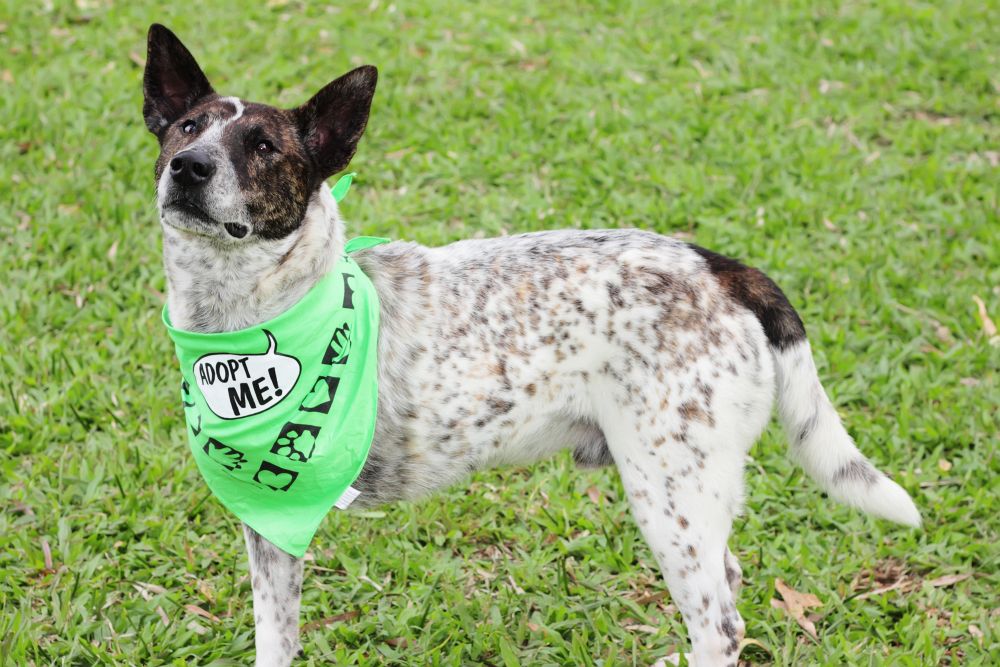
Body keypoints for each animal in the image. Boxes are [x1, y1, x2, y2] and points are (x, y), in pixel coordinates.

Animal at [143, 24, 920, 667]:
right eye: (186, 127)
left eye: (263, 147)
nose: (189, 167)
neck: (260, 302)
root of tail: (719, 266)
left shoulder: (277, 514)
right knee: (726, 585)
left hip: (669, 489)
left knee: (720, 623)